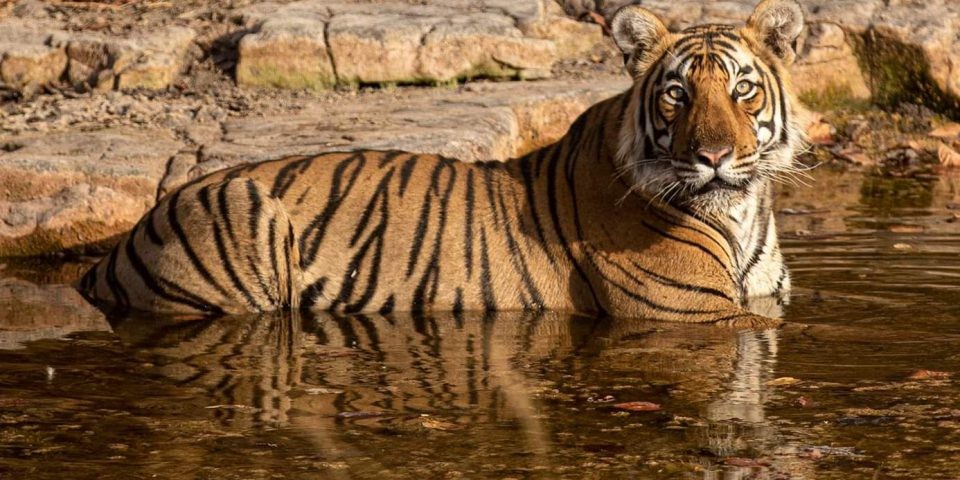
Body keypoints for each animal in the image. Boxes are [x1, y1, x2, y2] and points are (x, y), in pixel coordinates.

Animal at [79, 0, 806, 323]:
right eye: (677, 94)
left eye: (742, 89)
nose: (713, 156)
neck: (741, 213)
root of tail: (122, 241)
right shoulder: (695, 313)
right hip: (242, 228)